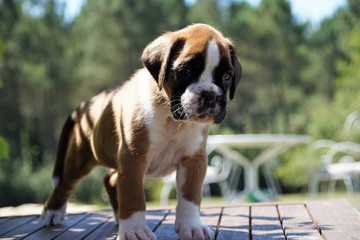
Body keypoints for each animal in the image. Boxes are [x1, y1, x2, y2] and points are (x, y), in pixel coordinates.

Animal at [41, 23, 242, 240]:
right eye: (186, 71)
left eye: (226, 76)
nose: (209, 95)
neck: (171, 118)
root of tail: (87, 104)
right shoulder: (133, 158)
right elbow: (133, 197)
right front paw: (134, 231)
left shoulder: (193, 160)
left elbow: (190, 197)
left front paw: (191, 226)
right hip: (80, 160)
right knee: (65, 184)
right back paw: (52, 212)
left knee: (110, 179)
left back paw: (116, 215)